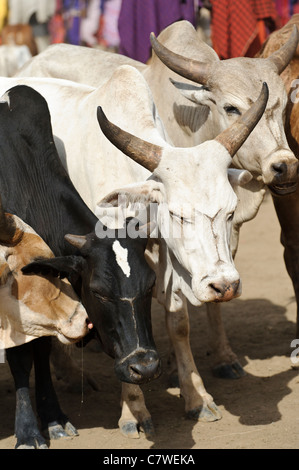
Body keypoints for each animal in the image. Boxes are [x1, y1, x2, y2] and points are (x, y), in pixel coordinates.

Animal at [0, 67, 268, 436]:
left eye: (230, 212)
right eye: (177, 214)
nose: (224, 286)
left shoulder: (164, 263)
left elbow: (178, 322)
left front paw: (196, 397)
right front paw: (133, 410)